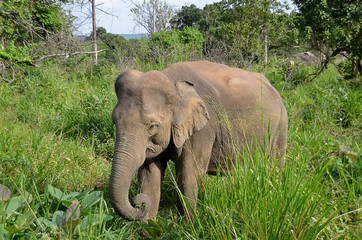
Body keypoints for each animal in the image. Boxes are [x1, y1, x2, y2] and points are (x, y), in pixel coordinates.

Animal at [109, 60, 288, 221]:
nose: (139, 202)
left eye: (152, 126)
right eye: (114, 121)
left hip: (280, 128)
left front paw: (188, 226)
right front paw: (148, 228)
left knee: (274, 168)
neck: (172, 82)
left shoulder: (203, 129)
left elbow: (189, 173)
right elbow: (149, 174)